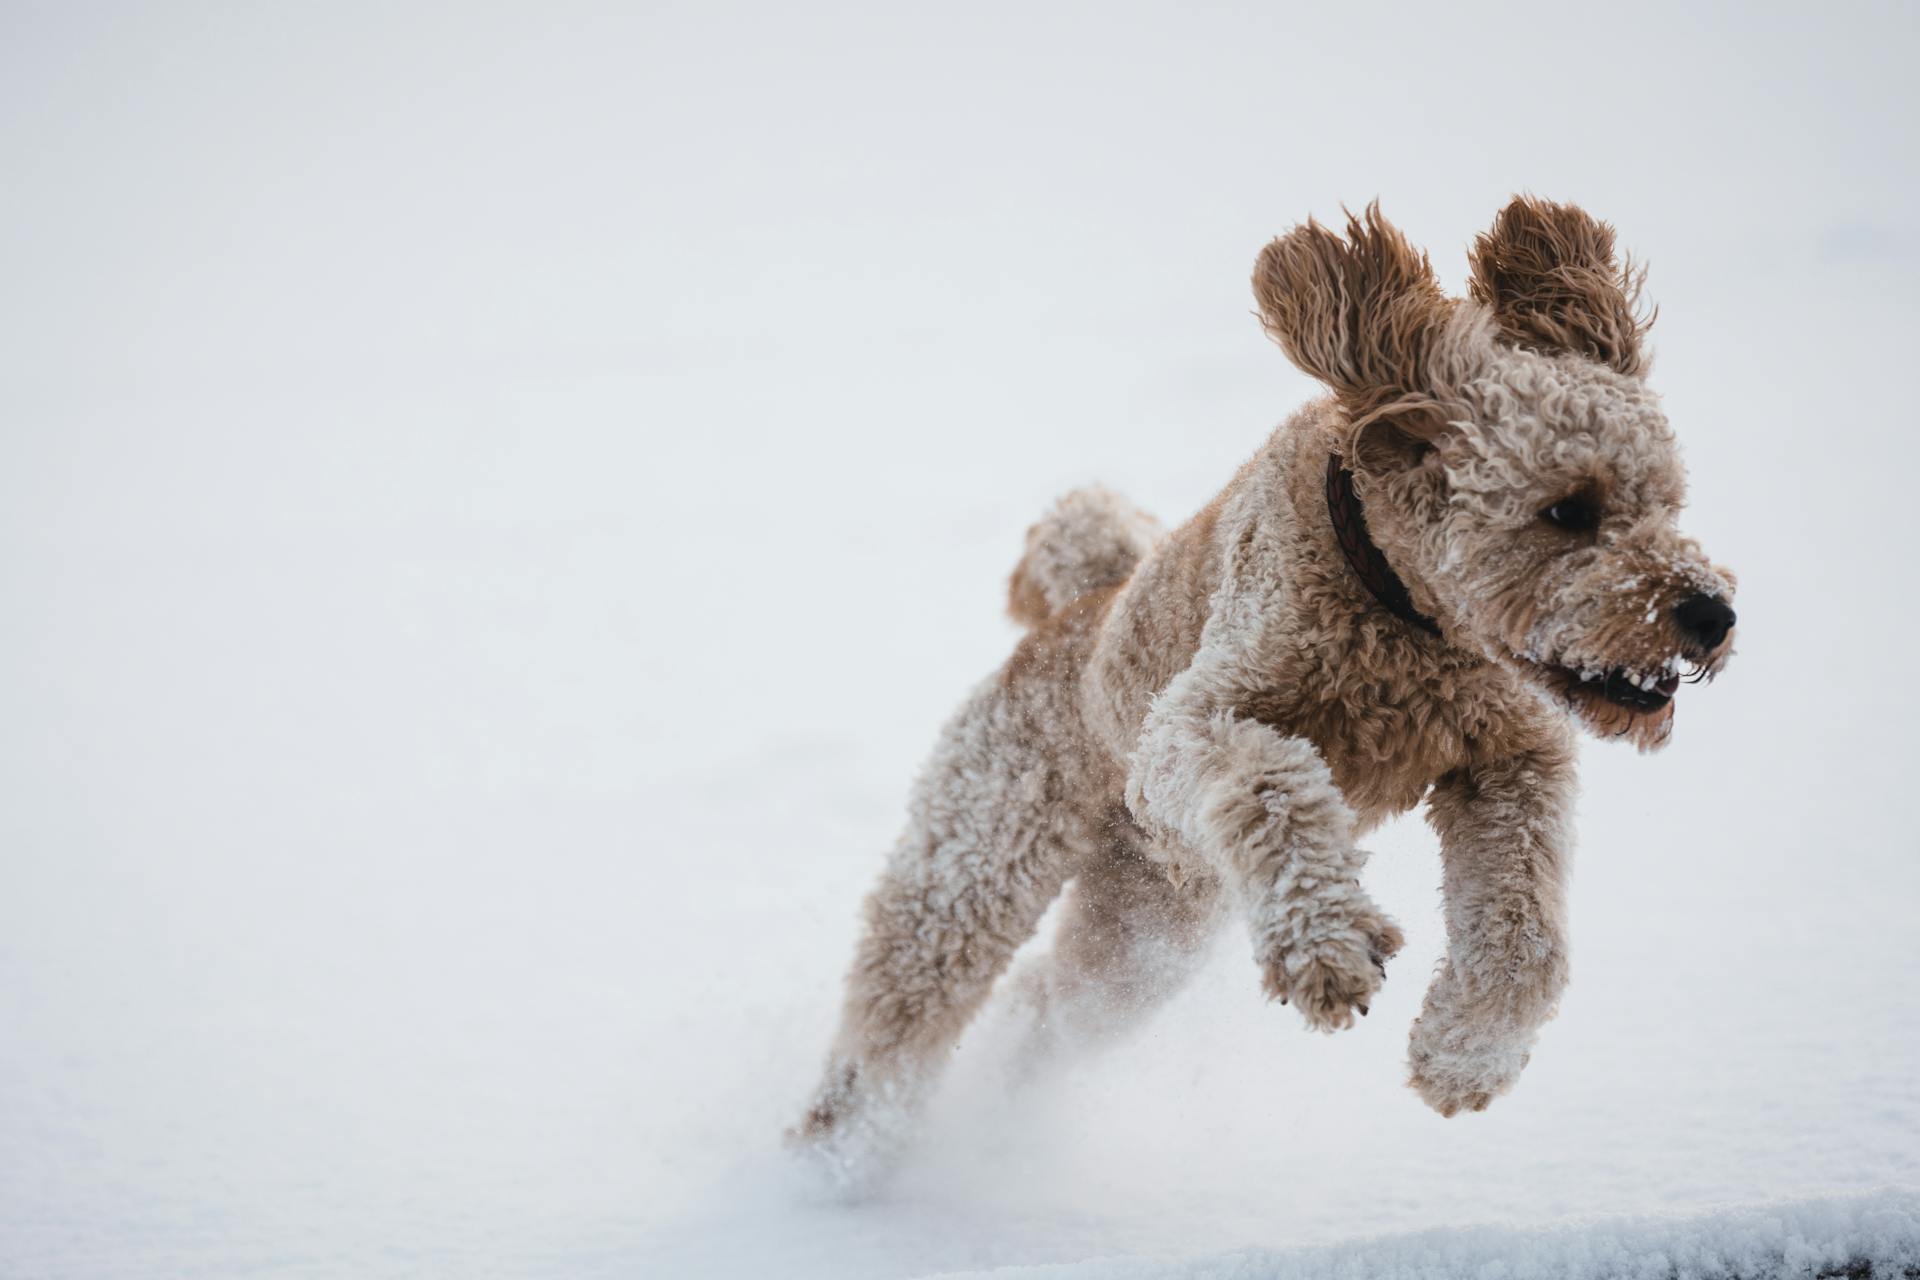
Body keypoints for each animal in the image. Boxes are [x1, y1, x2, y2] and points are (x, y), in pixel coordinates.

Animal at [787, 195, 1735, 1189]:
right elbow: (1272, 783)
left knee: (1049, 1003)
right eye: (1567, 509)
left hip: (1145, 926)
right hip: (979, 855)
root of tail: (1079, 608)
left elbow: (1525, 930)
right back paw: (837, 1158)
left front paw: (1464, 1056)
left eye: (1665, 502)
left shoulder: (1510, 759)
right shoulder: (1193, 727)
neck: (1402, 615)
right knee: (903, 1004)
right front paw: (1328, 946)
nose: (1713, 614)